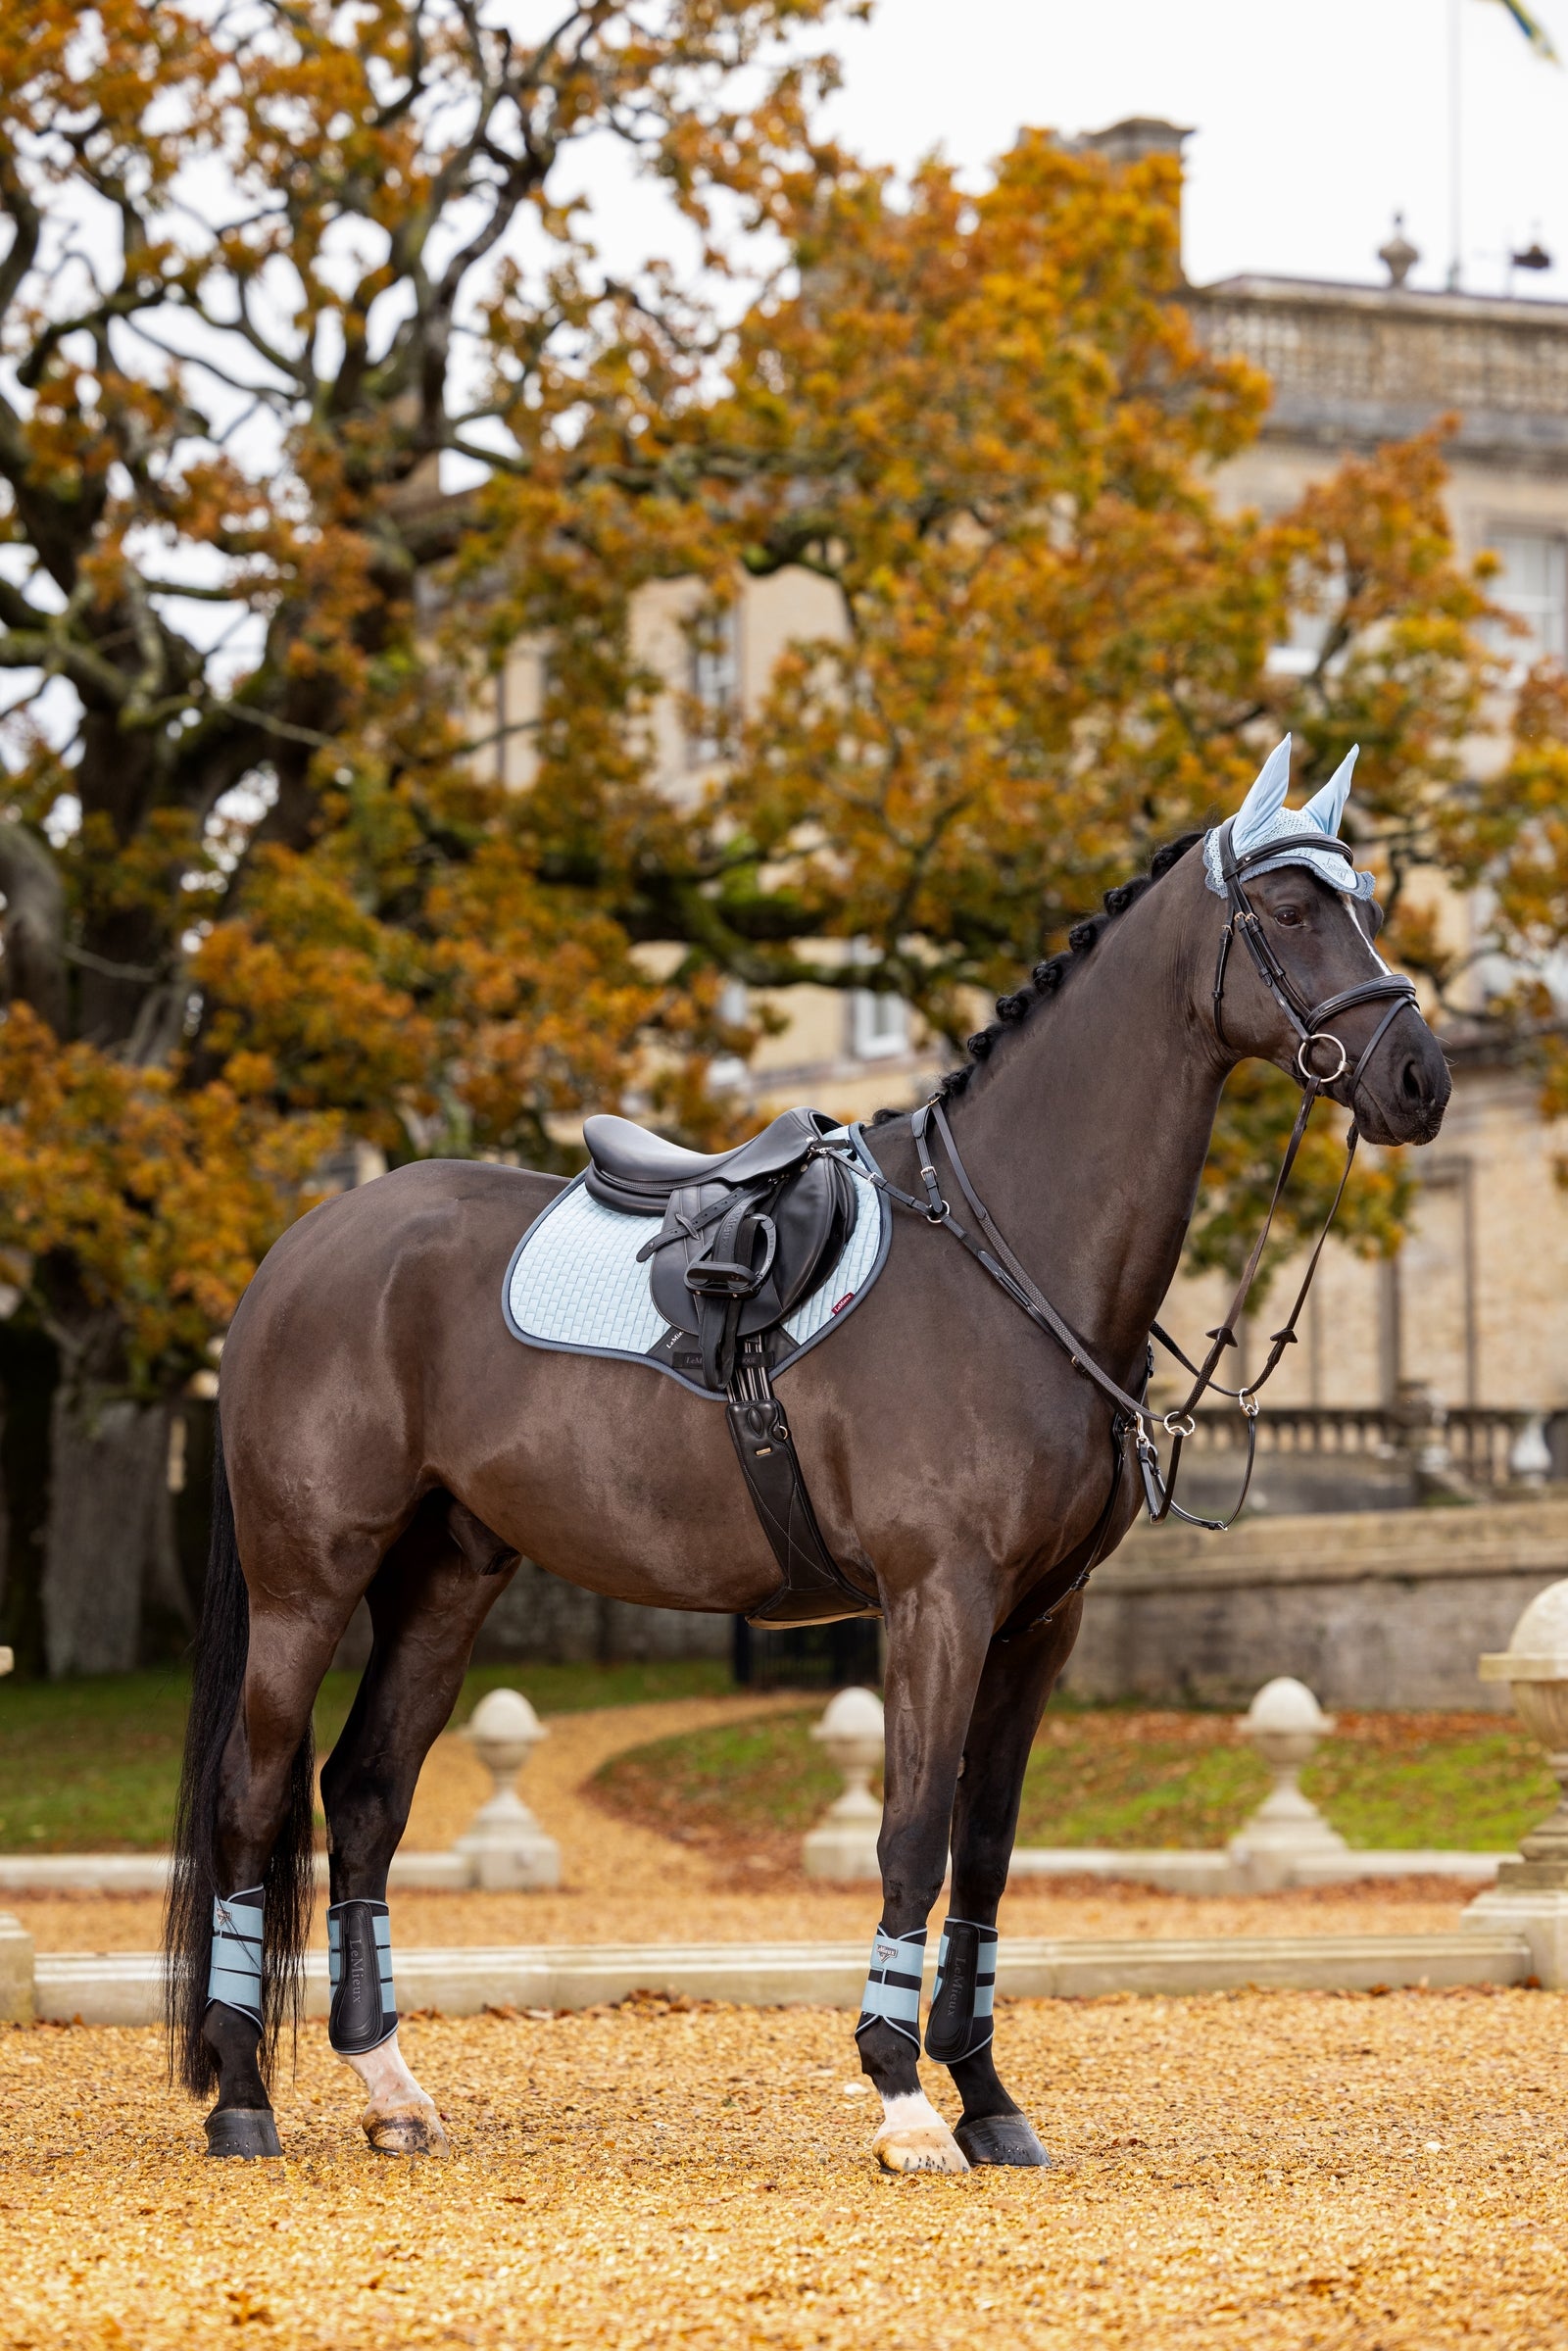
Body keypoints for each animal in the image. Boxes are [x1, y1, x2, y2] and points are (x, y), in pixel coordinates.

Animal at [165, 745, 1449, 2173]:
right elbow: (913, 1832)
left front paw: (987, 2092)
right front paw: (904, 2095)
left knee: (365, 1794)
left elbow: (987, 1850)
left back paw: (390, 2084)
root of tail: (303, 1244)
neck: (1008, 1254)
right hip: (307, 1582)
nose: (1420, 1076)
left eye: (1368, 899)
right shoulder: (939, 1599)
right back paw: (240, 2094)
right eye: (1287, 909)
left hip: (445, 1579)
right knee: (253, 1793)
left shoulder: (1040, 1621)